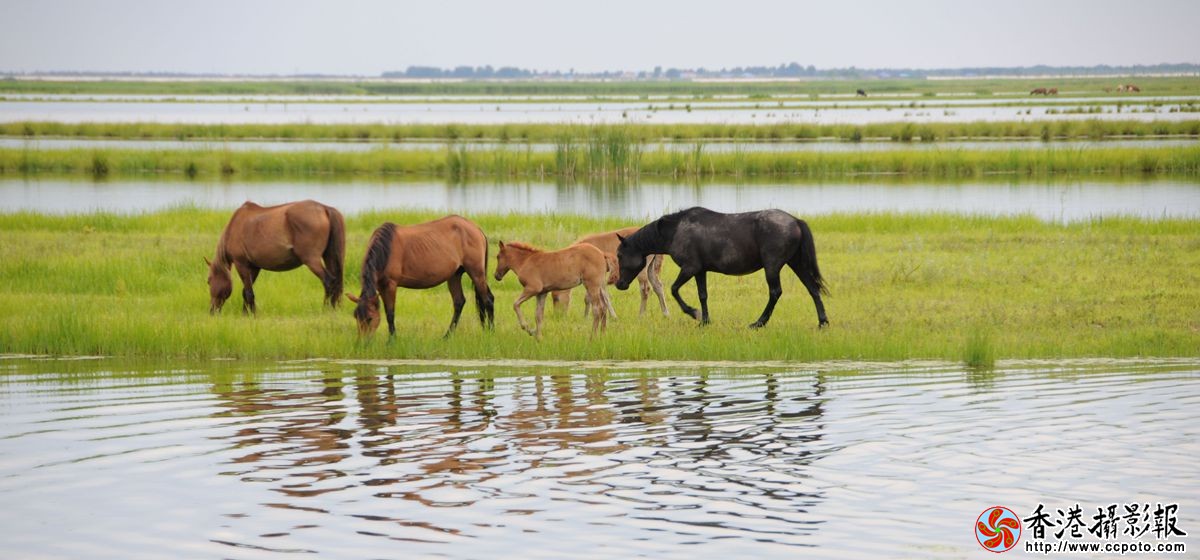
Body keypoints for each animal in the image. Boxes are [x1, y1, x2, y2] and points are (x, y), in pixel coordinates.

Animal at [206, 200, 344, 314]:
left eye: (208, 281)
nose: (212, 311)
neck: (234, 226)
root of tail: (324, 208)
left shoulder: (242, 264)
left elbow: (249, 292)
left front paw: (252, 314)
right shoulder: (254, 267)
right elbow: (246, 291)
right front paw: (246, 313)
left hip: (312, 260)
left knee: (328, 281)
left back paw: (326, 309)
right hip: (328, 257)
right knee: (335, 282)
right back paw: (333, 309)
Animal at [345, 216, 494, 337]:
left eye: (370, 318)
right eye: (356, 316)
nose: (362, 344)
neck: (386, 249)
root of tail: (476, 228)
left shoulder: (391, 285)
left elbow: (390, 314)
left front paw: (392, 340)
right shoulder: (381, 286)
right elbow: (388, 312)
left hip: (476, 273)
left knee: (488, 299)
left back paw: (491, 332)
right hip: (454, 276)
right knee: (459, 302)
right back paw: (447, 336)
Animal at [615, 207, 828, 329]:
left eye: (619, 256)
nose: (619, 284)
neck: (675, 231)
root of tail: (795, 221)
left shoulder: (690, 268)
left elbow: (674, 289)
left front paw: (694, 313)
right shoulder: (700, 271)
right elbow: (703, 295)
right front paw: (705, 321)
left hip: (773, 266)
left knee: (775, 292)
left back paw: (759, 322)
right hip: (796, 263)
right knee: (812, 289)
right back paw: (822, 322)